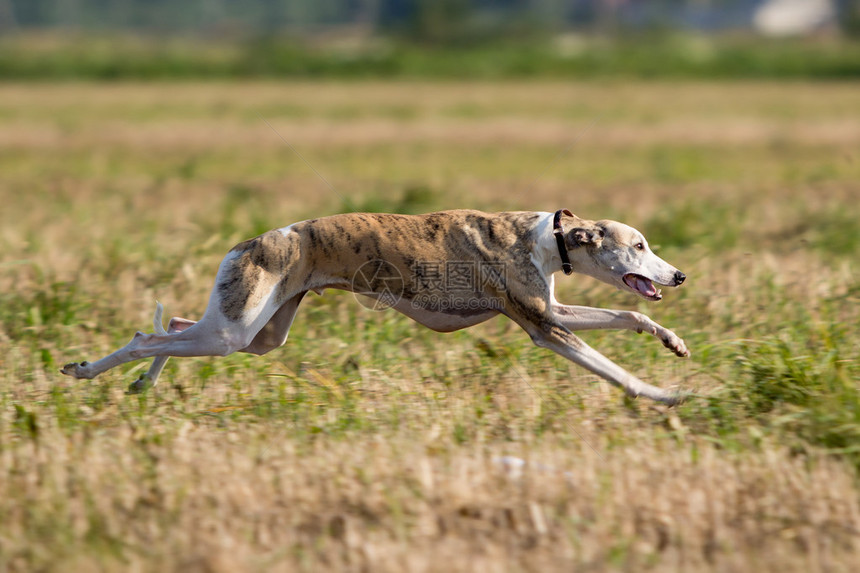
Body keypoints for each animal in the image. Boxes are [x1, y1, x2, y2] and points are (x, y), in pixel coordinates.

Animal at [60, 209, 688, 402]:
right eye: (638, 245)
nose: (679, 275)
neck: (548, 237)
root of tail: (251, 243)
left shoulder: (553, 313)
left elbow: (632, 314)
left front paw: (673, 340)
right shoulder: (546, 325)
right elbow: (615, 370)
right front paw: (663, 395)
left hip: (261, 332)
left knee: (176, 325)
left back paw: (142, 383)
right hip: (234, 332)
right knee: (148, 336)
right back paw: (88, 370)